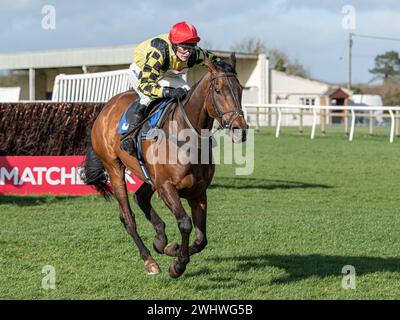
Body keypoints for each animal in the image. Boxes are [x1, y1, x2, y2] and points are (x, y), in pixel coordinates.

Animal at [83, 54, 248, 278]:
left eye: (240, 89)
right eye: (218, 89)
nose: (240, 129)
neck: (186, 137)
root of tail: (104, 109)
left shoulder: (198, 191)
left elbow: (201, 239)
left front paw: (171, 248)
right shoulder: (167, 187)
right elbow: (185, 223)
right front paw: (177, 265)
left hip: (150, 176)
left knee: (141, 198)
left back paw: (160, 239)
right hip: (115, 168)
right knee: (127, 217)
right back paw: (149, 261)